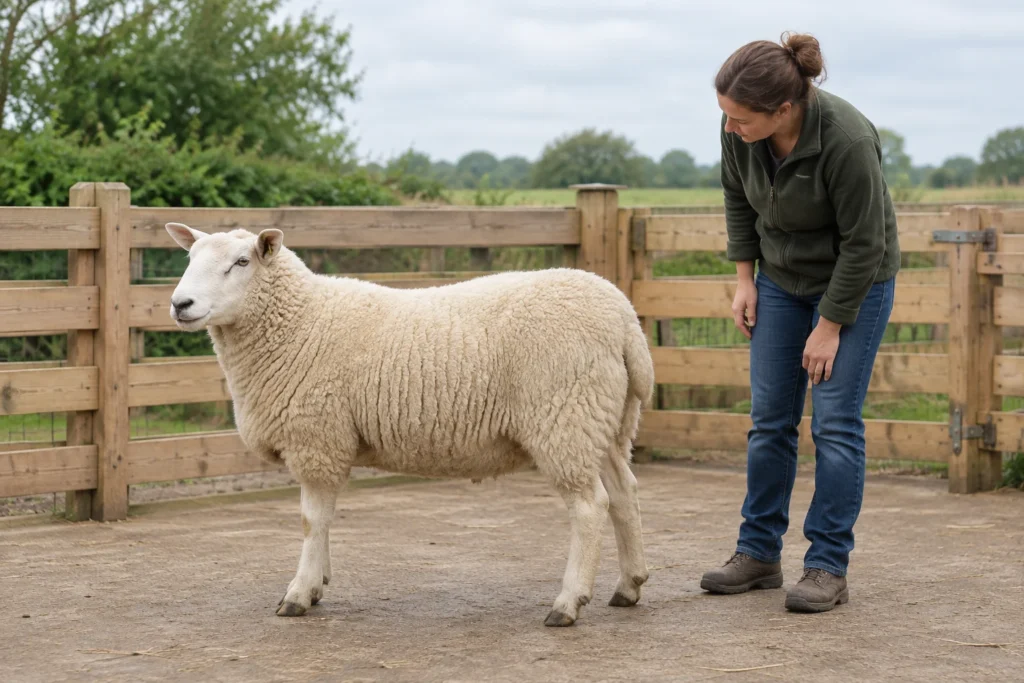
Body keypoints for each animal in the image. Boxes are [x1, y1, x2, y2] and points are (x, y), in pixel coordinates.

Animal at [163, 221, 655, 627]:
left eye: (241, 262)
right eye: (189, 258)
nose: (180, 304)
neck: (300, 322)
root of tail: (624, 318)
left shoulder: (317, 437)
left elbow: (310, 520)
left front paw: (299, 594)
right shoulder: (327, 441)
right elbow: (323, 519)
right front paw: (319, 582)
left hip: (565, 418)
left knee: (590, 507)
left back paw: (567, 604)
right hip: (605, 421)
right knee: (625, 493)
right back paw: (628, 586)